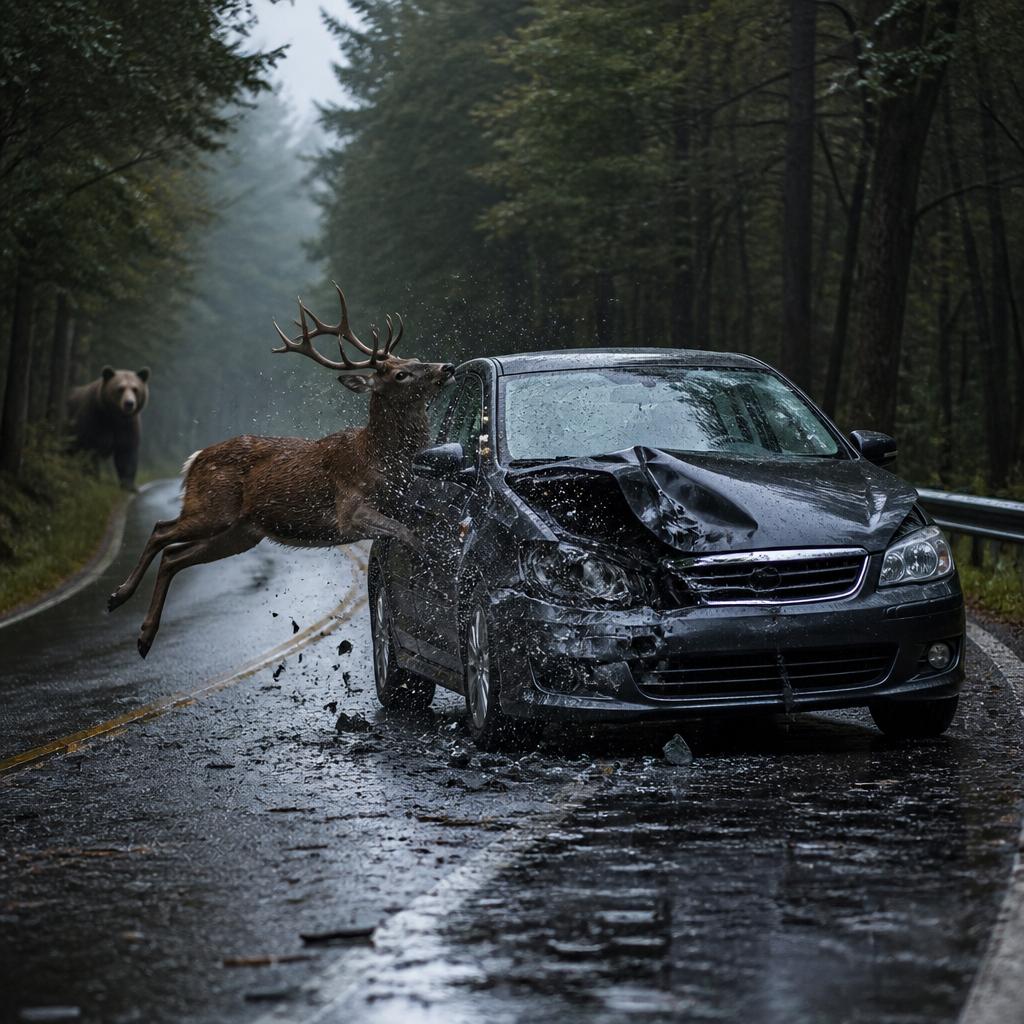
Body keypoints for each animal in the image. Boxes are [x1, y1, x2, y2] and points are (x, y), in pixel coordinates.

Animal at [108, 284, 455, 659]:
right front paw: (433, 562)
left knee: (174, 556)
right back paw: (119, 597)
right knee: (161, 530)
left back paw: (144, 636)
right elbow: (406, 533)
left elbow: (407, 528)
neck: (379, 458)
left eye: (414, 358)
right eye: (400, 374)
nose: (447, 367)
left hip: (241, 533)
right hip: (213, 508)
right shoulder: (349, 511)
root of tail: (195, 458)